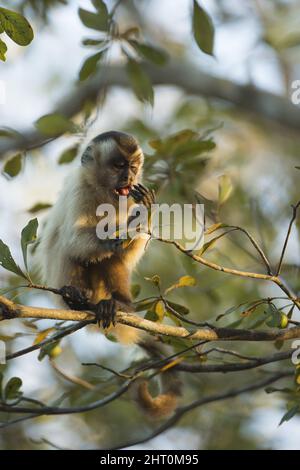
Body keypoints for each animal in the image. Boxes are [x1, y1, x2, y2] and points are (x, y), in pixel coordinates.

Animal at [35, 130, 180, 416]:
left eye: (133, 167)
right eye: (118, 165)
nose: (129, 178)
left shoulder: (129, 197)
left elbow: (127, 253)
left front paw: (143, 215)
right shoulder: (80, 189)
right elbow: (74, 240)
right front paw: (117, 235)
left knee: (112, 262)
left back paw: (117, 304)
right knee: (69, 246)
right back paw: (77, 298)